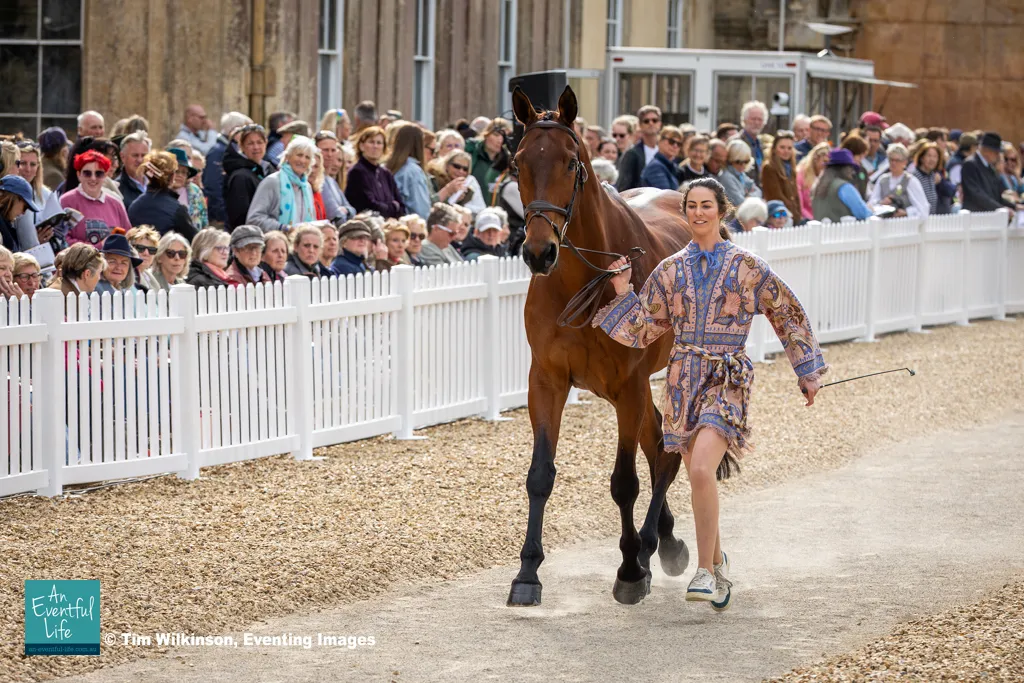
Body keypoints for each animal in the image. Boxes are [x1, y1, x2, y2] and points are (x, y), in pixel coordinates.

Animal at [507, 85, 694, 607]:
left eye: (571, 162)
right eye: (517, 162)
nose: (538, 252)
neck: (583, 280)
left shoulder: (627, 383)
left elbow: (625, 482)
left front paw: (630, 569)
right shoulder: (547, 380)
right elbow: (540, 475)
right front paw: (527, 573)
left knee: (666, 450)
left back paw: (650, 546)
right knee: (658, 443)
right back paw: (665, 540)